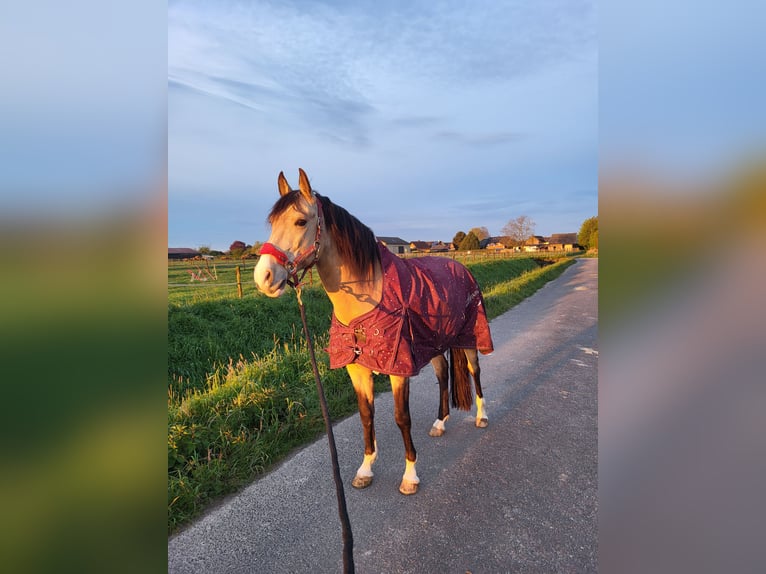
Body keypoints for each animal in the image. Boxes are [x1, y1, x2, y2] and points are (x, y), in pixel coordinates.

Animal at [256, 169, 498, 498]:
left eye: (300, 221)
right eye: (272, 224)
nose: (263, 277)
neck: (368, 298)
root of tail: (460, 266)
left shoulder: (399, 369)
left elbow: (401, 418)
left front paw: (410, 475)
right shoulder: (357, 369)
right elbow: (366, 416)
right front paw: (365, 469)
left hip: (470, 338)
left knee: (475, 371)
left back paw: (482, 416)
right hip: (433, 343)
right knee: (443, 374)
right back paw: (440, 422)